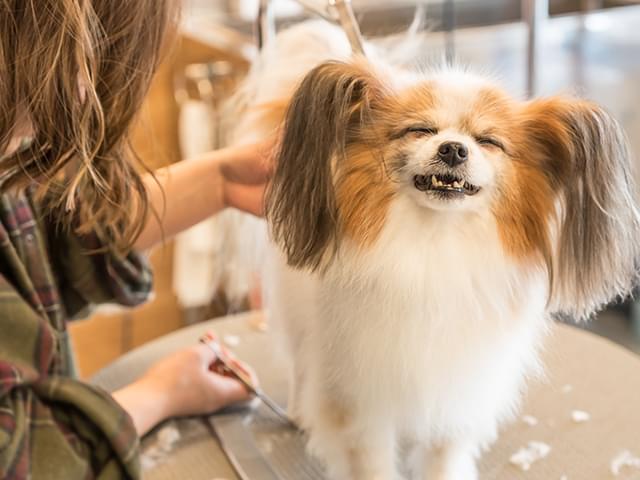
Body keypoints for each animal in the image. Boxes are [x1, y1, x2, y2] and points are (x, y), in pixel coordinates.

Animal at [220, 20, 640, 478]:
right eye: (420, 130)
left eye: (488, 141)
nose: (453, 148)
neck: (437, 243)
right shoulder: (359, 401)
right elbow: (370, 463)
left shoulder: (454, 396)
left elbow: (442, 458)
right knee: (299, 360)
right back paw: (298, 410)